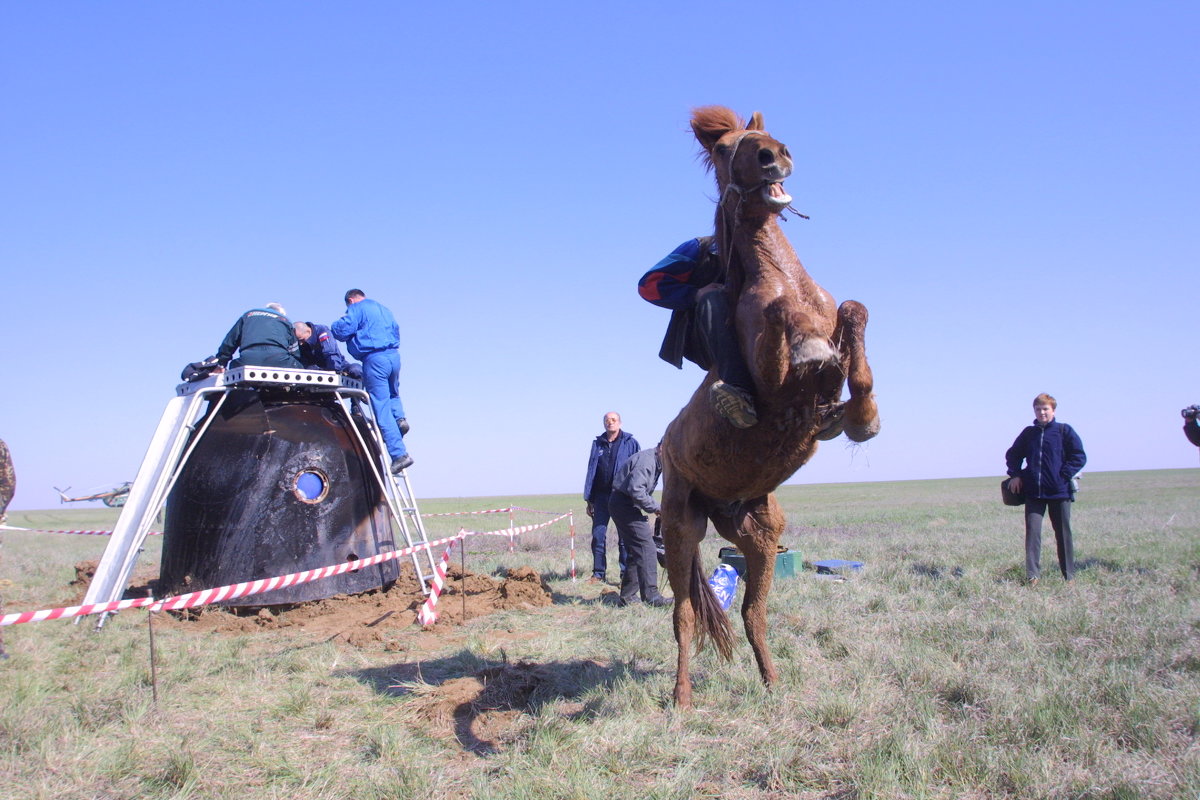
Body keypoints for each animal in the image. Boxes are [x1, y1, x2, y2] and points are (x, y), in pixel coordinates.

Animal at [662, 107, 878, 705]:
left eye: (765, 134)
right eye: (723, 149)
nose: (773, 155)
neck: (786, 280)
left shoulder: (837, 348)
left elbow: (854, 313)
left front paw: (863, 416)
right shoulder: (777, 382)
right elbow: (785, 325)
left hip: (757, 534)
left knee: (752, 612)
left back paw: (772, 684)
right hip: (681, 526)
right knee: (684, 615)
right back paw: (682, 699)